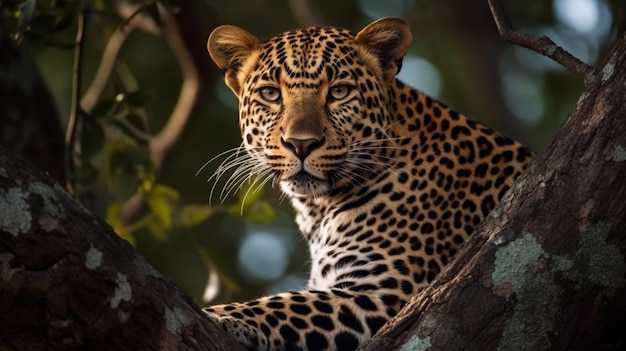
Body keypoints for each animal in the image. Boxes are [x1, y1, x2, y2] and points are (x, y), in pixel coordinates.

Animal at [202, 17, 532, 351]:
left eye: (339, 92)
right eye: (270, 94)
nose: (301, 144)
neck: (318, 208)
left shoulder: (386, 292)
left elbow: (274, 306)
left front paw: (213, 314)